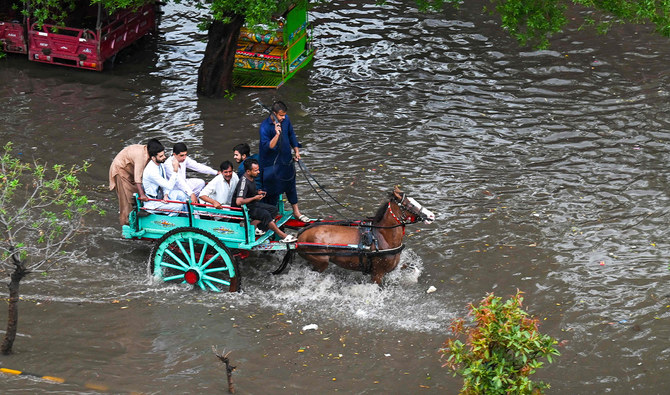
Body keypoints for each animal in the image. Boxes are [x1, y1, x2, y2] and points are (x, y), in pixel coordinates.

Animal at [298, 187, 436, 286]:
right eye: (411, 205)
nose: (431, 215)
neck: (382, 237)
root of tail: (300, 236)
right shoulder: (377, 274)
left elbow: (410, 266)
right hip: (321, 263)